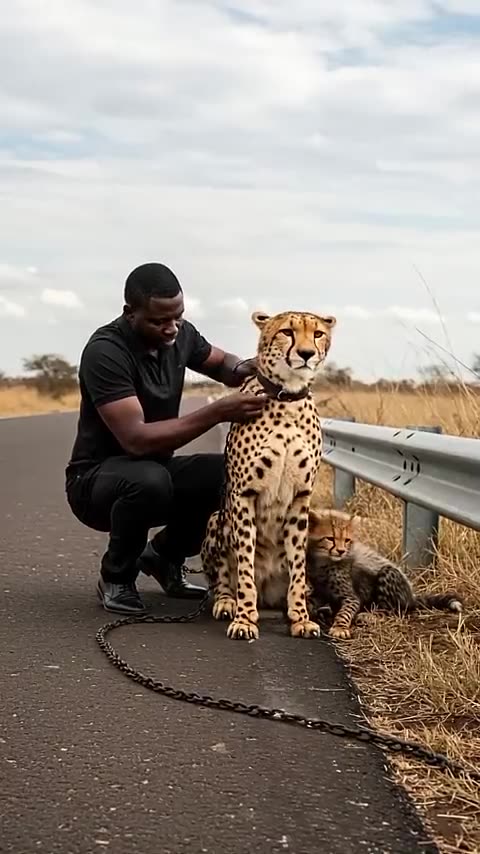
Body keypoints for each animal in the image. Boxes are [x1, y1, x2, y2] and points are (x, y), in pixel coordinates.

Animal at [200, 308, 337, 640]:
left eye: (317, 334)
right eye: (287, 332)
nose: (306, 354)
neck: (287, 398)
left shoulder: (302, 496)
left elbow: (297, 565)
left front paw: (300, 617)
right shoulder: (244, 493)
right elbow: (245, 564)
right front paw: (245, 619)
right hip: (215, 519)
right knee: (220, 580)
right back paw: (227, 603)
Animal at [306, 507, 463, 639]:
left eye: (347, 540)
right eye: (330, 538)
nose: (341, 551)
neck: (324, 562)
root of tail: (411, 596)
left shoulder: (351, 597)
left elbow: (345, 612)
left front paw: (339, 628)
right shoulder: (321, 591)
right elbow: (309, 601)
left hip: (388, 573)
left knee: (391, 610)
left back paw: (369, 616)